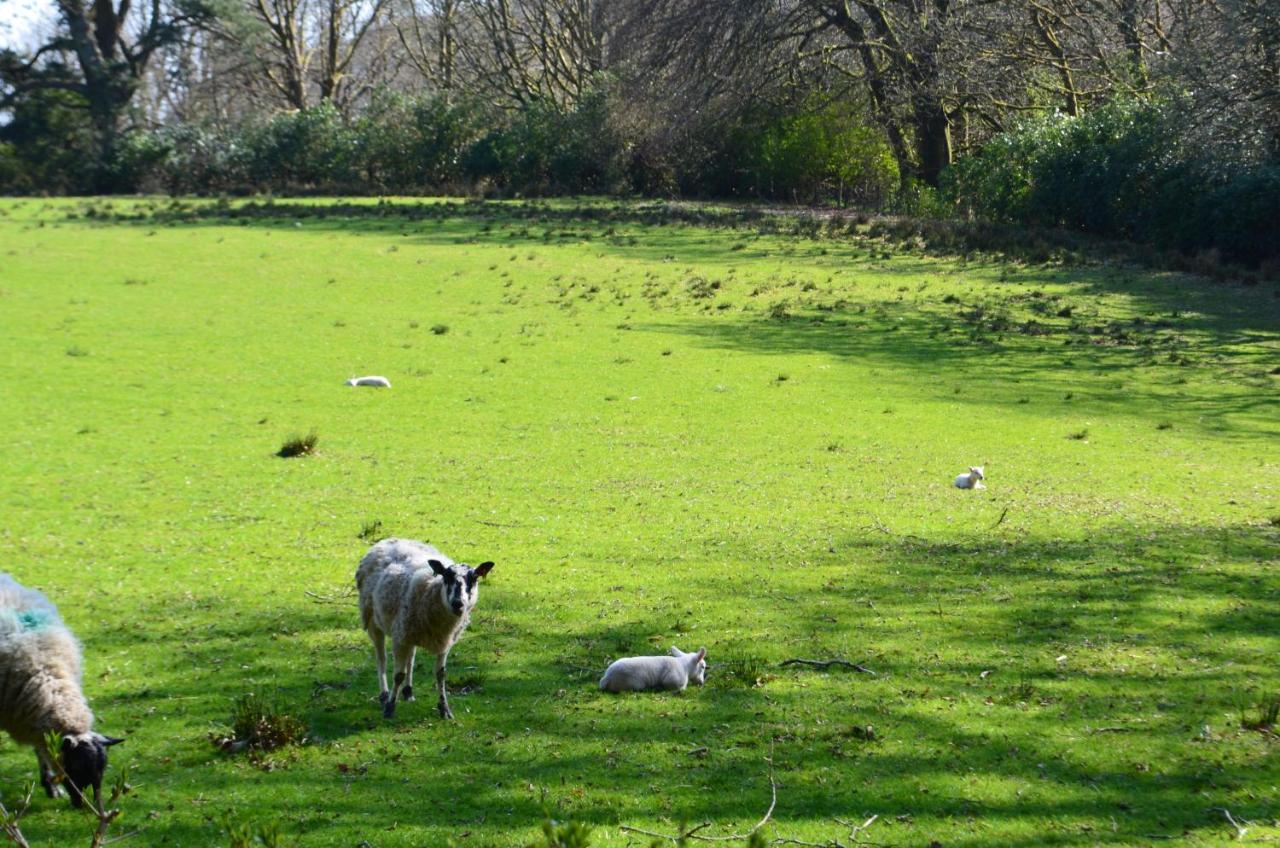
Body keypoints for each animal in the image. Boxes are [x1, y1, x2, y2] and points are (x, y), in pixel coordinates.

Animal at [355, 540, 494, 722]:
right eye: (446, 577)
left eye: (474, 578)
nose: (458, 603)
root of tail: (388, 540)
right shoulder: (400, 637)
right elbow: (398, 675)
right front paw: (390, 708)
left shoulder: (444, 641)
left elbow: (441, 674)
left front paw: (445, 709)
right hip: (373, 620)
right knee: (381, 659)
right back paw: (384, 695)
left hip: (410, 631)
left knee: (411, 658)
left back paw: (408, 692)